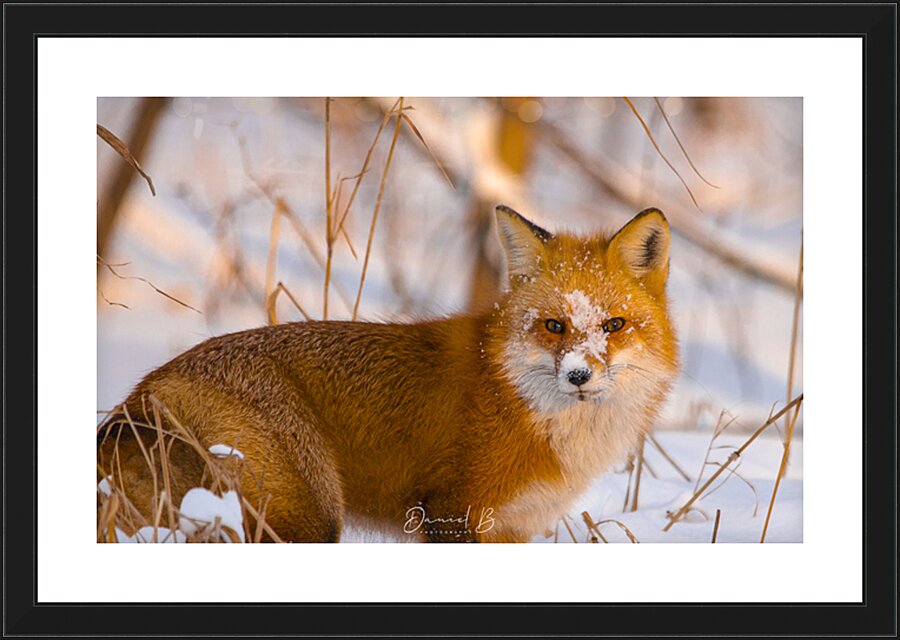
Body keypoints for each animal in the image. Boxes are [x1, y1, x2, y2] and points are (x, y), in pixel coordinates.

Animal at [98, 205, 679, 543]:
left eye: (614, 325)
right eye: (555, 325)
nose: (579, 375)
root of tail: (144, 390)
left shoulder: (513, 528)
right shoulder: (452, 511)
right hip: (311, 515)